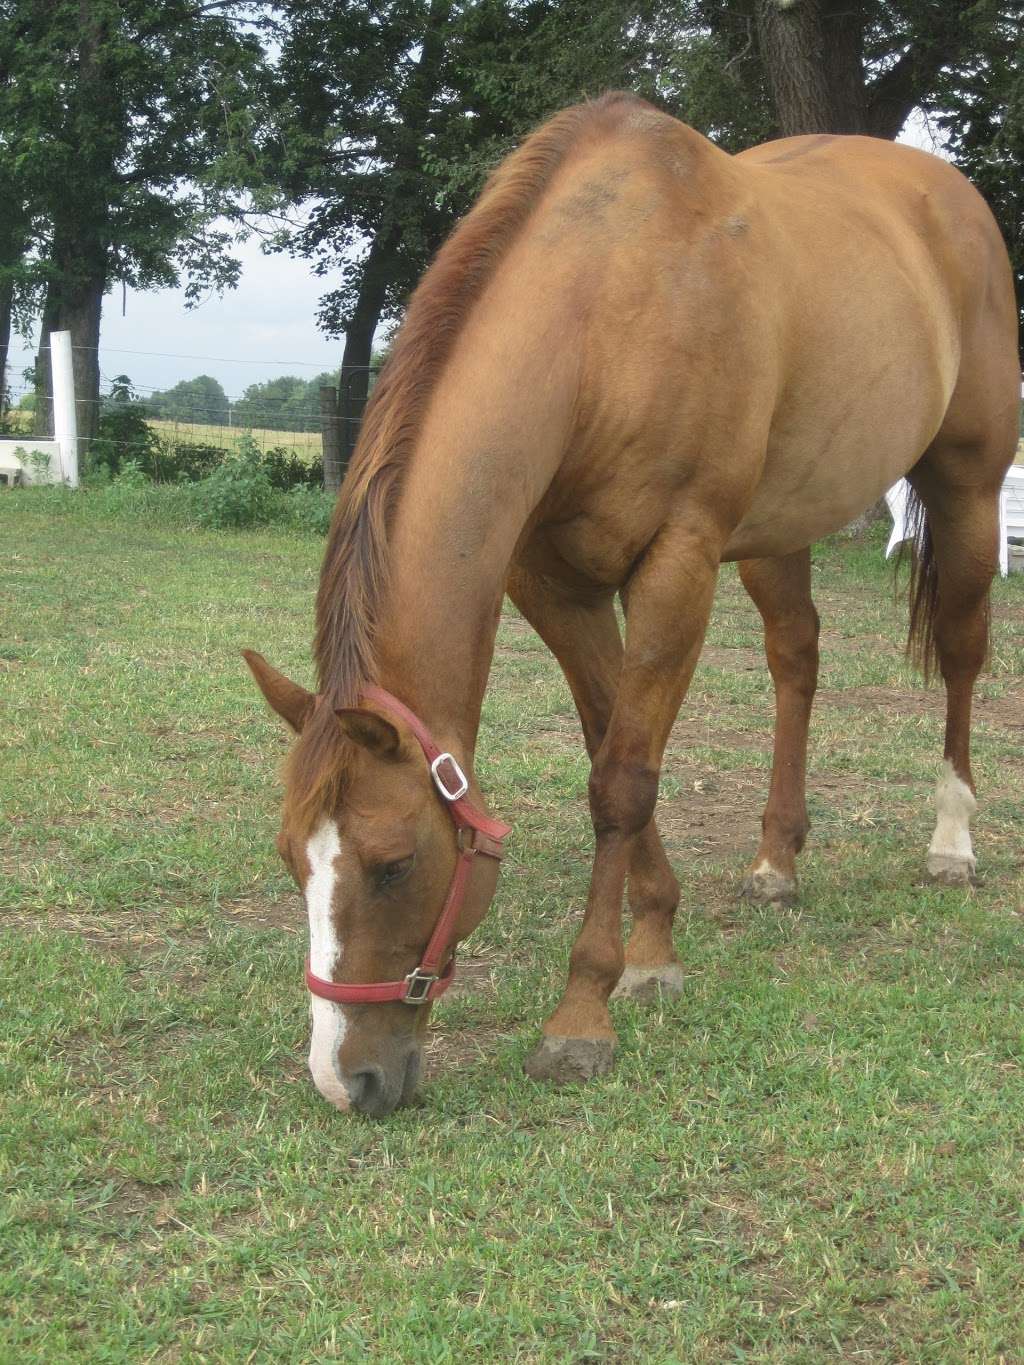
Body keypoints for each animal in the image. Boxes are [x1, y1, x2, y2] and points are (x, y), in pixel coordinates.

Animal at [244, 96, 1021, 1119]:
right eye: (293, 858)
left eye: (394, 862)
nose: (347, 1079)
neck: (606, 316)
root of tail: (951, 197)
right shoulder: (551, 579)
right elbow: (610, 734)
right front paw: (654, 946)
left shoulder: (677, 561)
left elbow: (621, 779)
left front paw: (582, 1012)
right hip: (779, 526)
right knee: (797, 657)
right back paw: (777, 861)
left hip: (967, 484)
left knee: (963, 651)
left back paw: (952, 839)